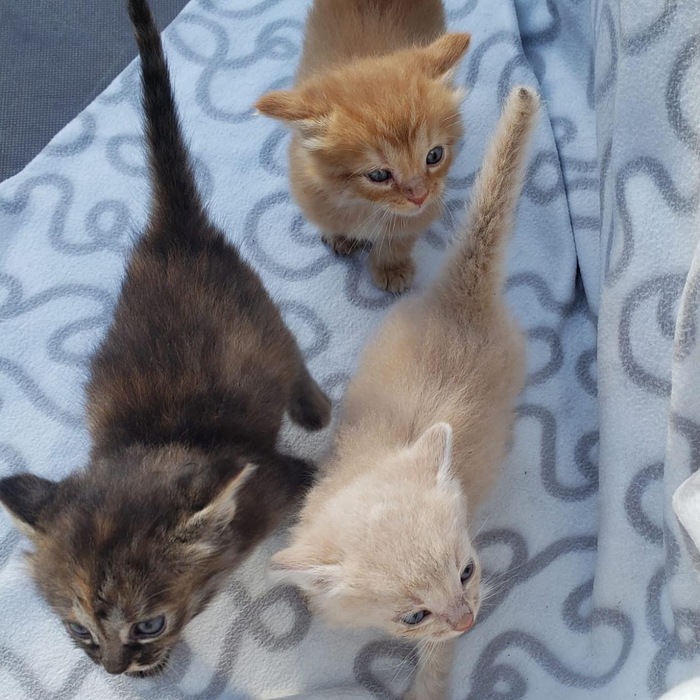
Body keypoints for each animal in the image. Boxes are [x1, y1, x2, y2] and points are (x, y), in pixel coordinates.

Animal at [0, 0, 330, 678]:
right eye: (78, 631)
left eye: (148, 625)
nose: (112, 669)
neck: (148, 441)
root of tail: (172, 233)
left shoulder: (277, 480)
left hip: (260, 312)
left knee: (290, 354)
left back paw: (314, 407)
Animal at [255, 0, 470, 293]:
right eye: (379, 175)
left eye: (434, 155)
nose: (420, 196)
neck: (364, 206)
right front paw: (341, 237)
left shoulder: (426, 207)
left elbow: (400, 236)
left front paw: (391, 267)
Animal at [269, 85, 540, 700]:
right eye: (412, 614)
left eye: (467, 571)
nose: (467, 619)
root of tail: (457, 299)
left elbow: (436, 663)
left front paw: (426, 688)